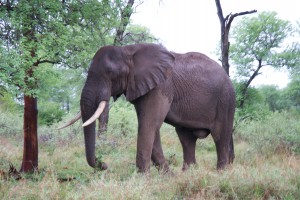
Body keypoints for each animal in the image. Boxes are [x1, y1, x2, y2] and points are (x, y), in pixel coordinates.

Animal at [62, 43, 236, 173]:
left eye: (110, 71)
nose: (104, 165)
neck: (128, 51)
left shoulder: (161, 86)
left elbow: (148, 124)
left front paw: (143, 177)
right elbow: (152, 126)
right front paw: (167, 175)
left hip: (226, 99)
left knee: (220, 136)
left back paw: (221, 173)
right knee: (186, 138)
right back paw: (188, 173)